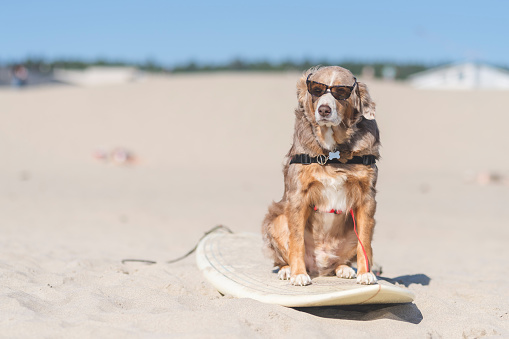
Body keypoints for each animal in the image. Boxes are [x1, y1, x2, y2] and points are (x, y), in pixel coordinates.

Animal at [262, 65, 378, 286]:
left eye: (341, 91)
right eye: (316, 90)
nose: (324, 109)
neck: (333, 152)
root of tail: (320, 266)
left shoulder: (367, 198)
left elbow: (366, 241)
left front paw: (365, 273)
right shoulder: (298, 196)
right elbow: (296, 240)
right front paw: (298, 274)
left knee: (340, 261)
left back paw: (344, 268)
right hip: (277, 221)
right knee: (282, 256)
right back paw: (287, 270)